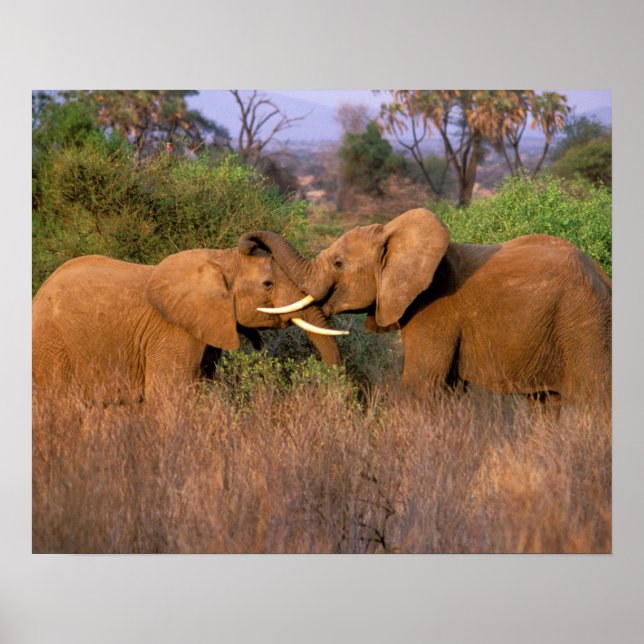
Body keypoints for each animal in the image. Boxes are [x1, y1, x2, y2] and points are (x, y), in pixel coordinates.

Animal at [32, 238, 347, 402]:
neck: (220, 259)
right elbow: (168, 397)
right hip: (52, 345)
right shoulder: (172, 331)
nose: (250, 240)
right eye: (268, 284)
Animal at [242, 208, 612, 406]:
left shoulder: (435, 310)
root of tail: (602, 276)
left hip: (583, 322)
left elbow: (421, 385)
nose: (247, 243)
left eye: (337, 263)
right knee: (545, 402)